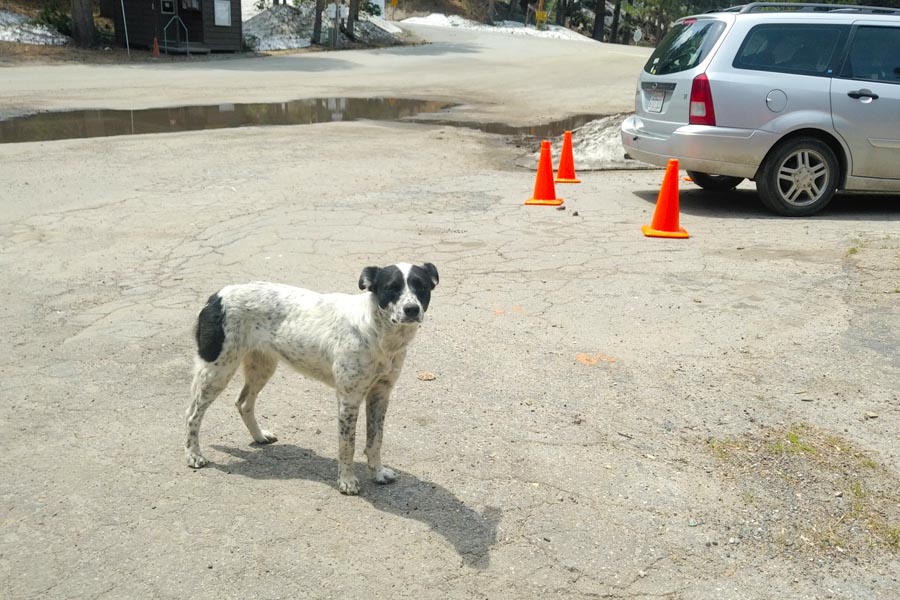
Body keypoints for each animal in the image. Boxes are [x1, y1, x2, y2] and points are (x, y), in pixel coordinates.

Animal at [185, 264, 438, 494]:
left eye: (421, 286)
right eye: (391, 288)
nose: (411, 309)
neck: (377, 332)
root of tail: (216, 296)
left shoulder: (381, 394)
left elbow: (375, 440)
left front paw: (377, 473)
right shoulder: (349, 398)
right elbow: (347, 445)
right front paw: (347, 481)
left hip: (262, 367)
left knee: (243, 403)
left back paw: (259, 436)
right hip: (217, 371)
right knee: (192, 414)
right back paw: (194, 455)